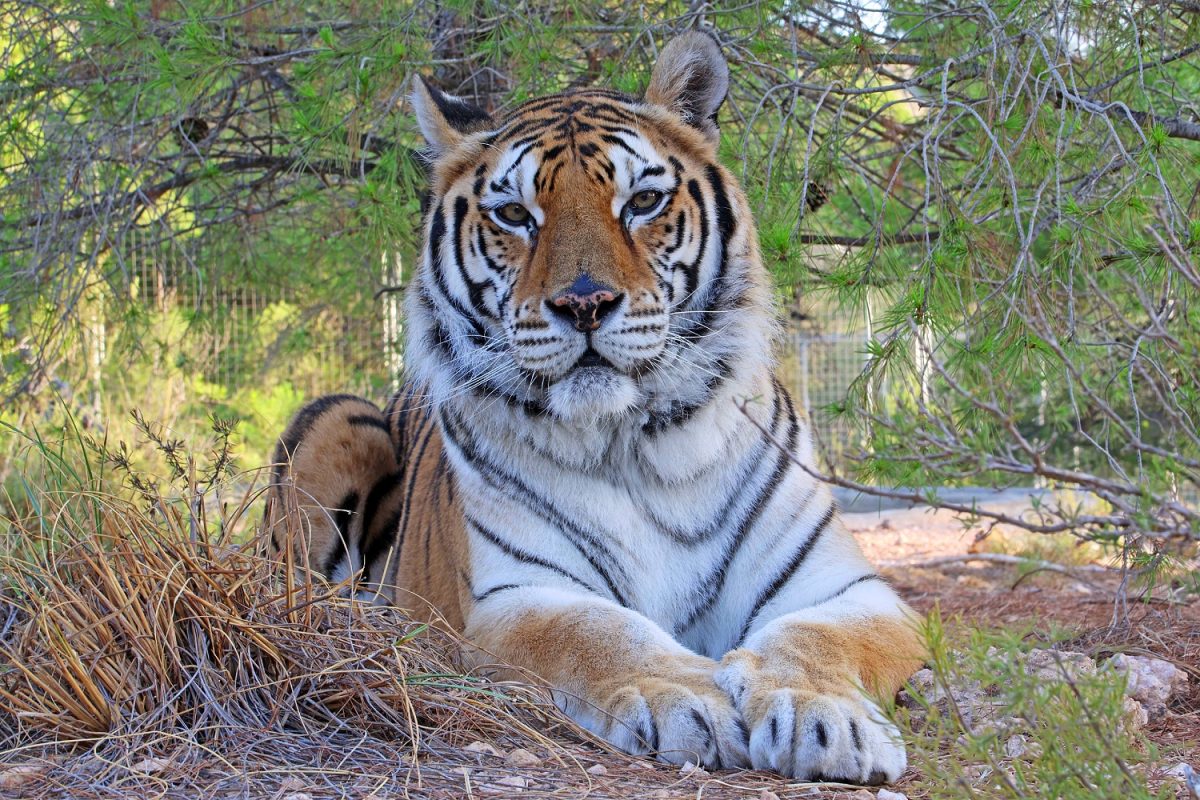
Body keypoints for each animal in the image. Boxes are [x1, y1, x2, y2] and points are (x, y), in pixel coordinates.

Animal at [269, 32, 924, 783]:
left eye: (641, 202)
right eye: (515, 214)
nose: (584, 304)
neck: (642, 445)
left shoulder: (844, 588)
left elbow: (811, 639)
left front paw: (826, 716)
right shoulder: (522, 594)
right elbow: (602, 634)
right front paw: (688, 700)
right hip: (339, 420)